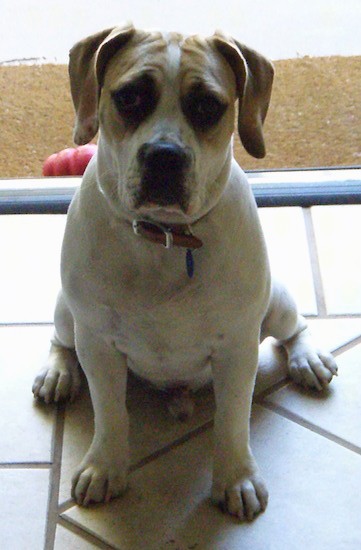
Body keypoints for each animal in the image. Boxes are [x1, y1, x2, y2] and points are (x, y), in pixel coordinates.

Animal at [32, 25, 336, 524]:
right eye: (130, 97)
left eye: (208, 106)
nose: (164, 155)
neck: (166, 240)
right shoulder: (97, 340)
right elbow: (110, 411)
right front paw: (105, 465)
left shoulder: (236, 347)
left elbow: (231, 420)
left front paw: (235, 477)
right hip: (64, 309)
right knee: (61, 340)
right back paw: (58, 372)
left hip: (276, 302)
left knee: (295, 329)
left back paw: (307, 359)